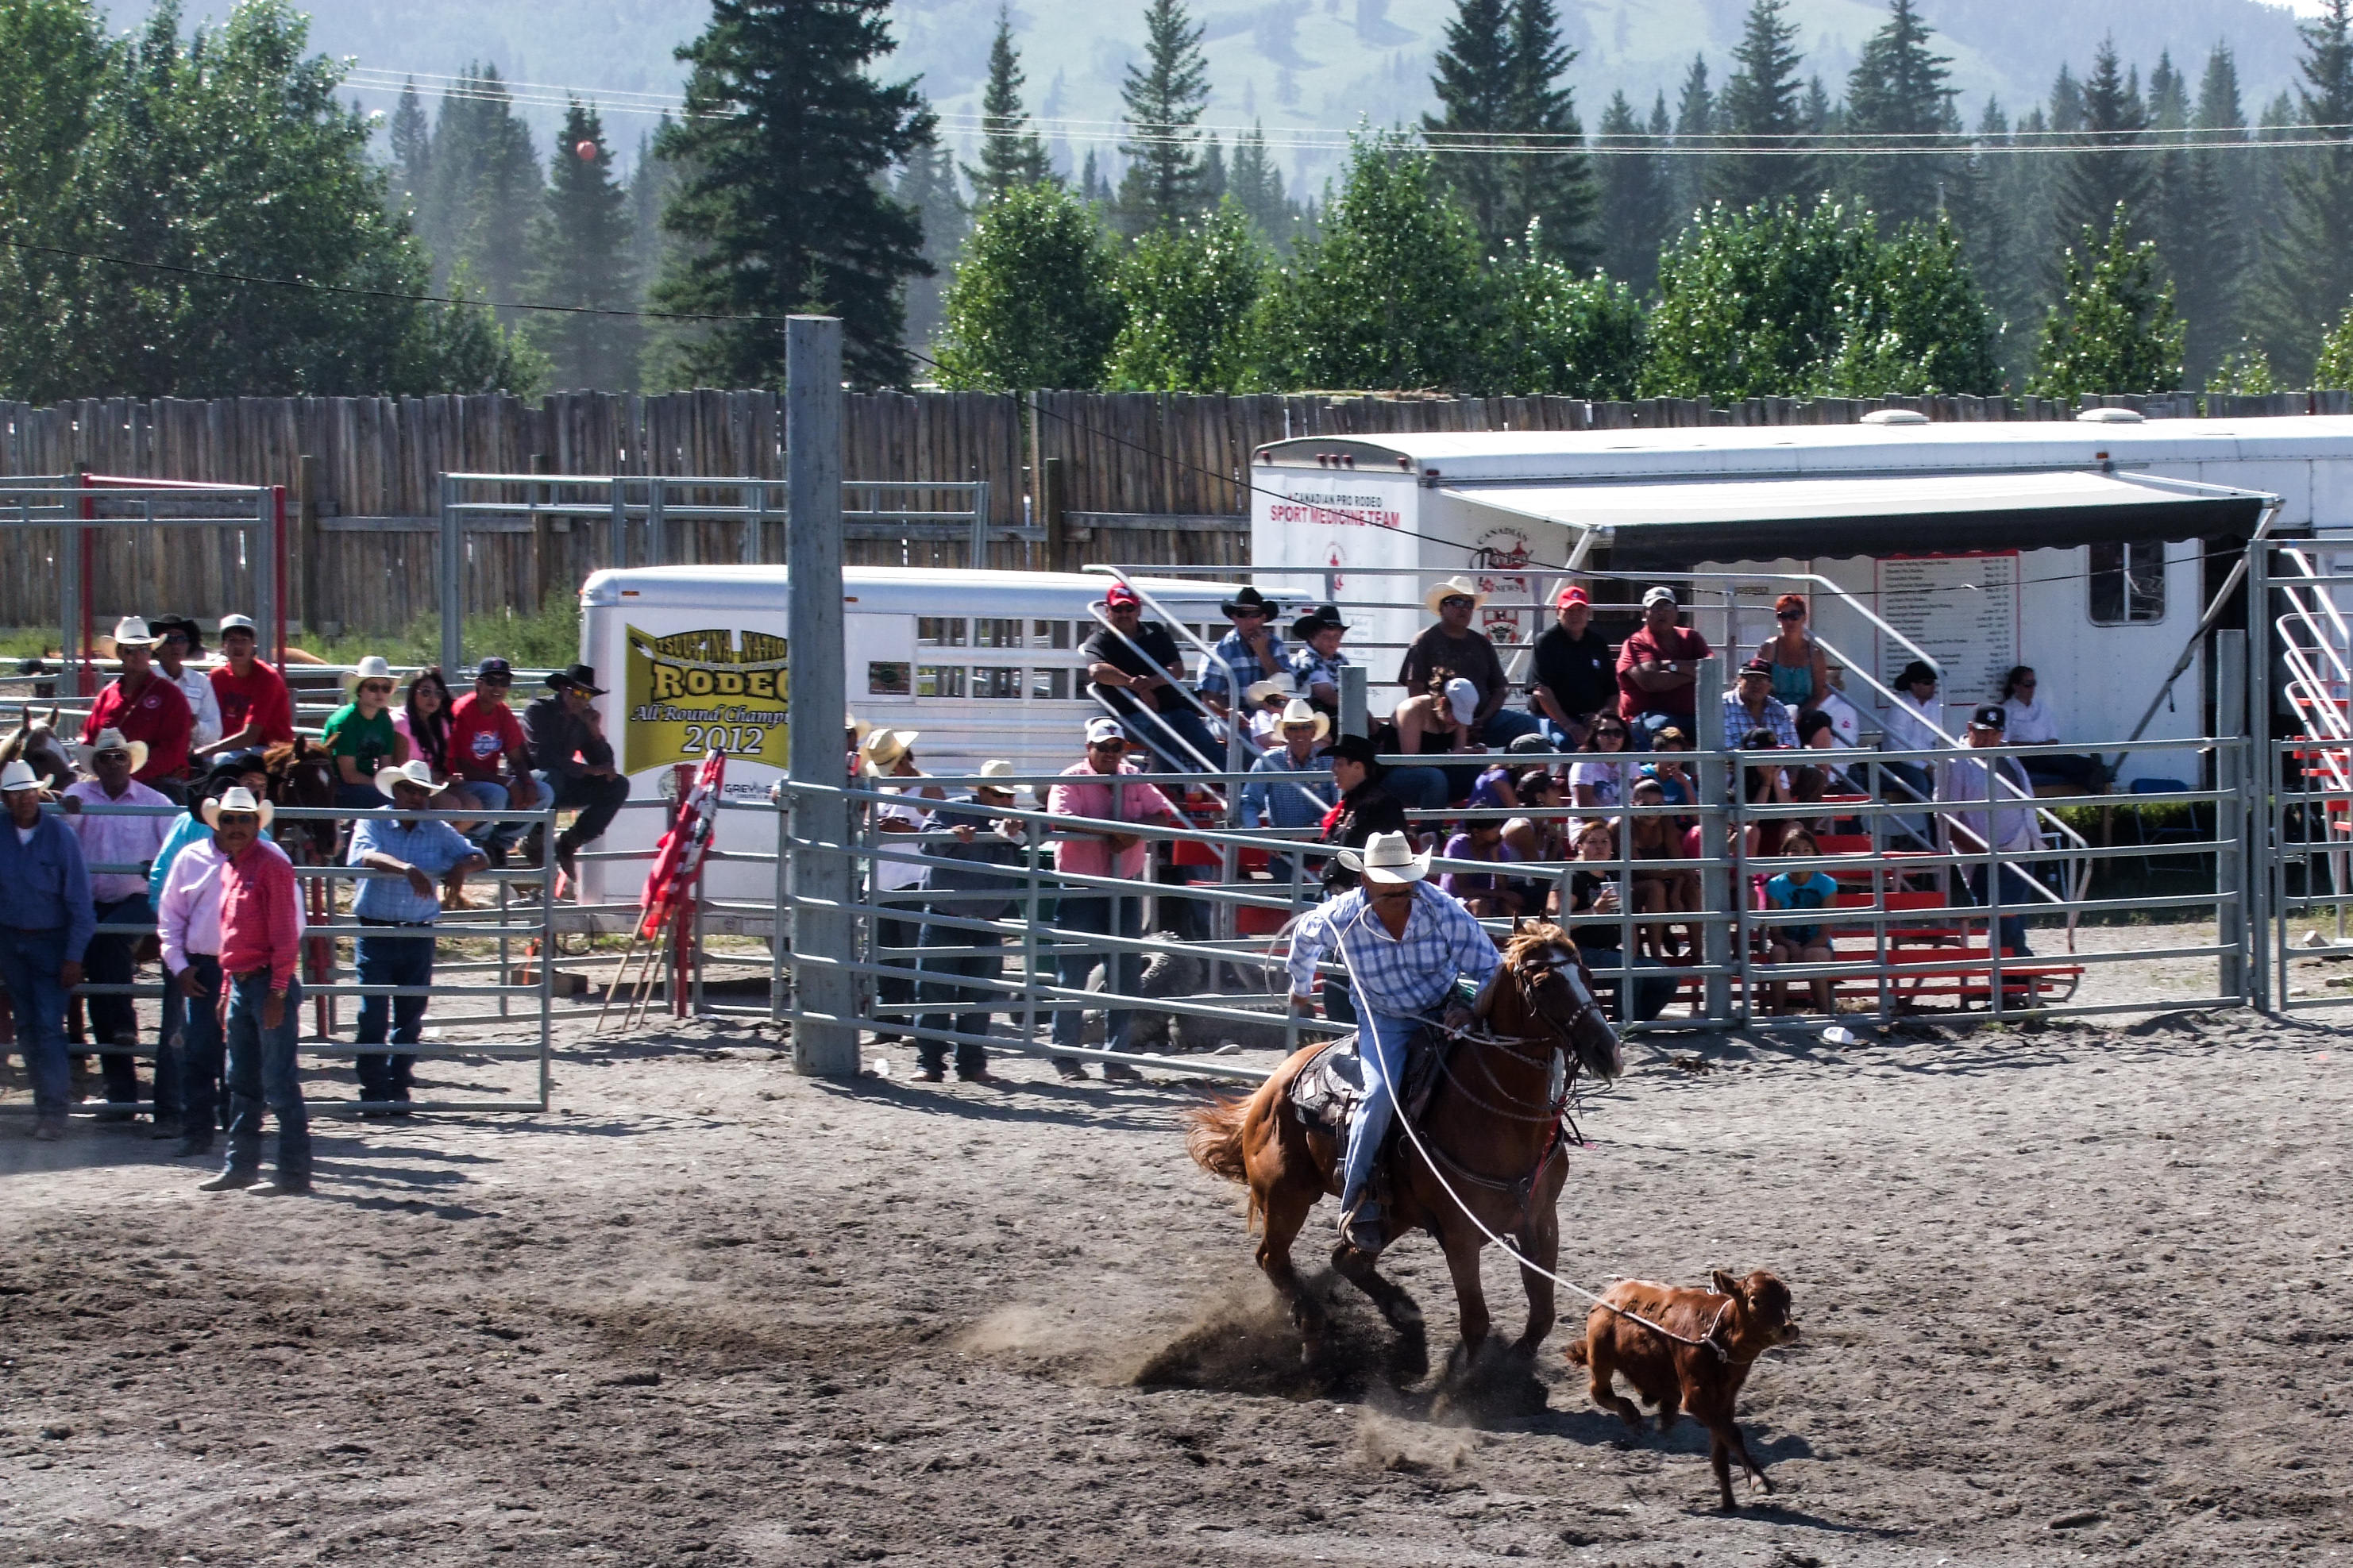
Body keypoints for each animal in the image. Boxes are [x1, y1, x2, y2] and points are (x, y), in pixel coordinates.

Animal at [1186, 922, 1623, 1376]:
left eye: (1588, 975)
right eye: (1544, 983)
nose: (1607, 1049)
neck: (1502, 1118)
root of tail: (1270, 1088)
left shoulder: (1539, 1219)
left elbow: (1542, 1315)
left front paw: (1514, 1364)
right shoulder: (1460, 1232)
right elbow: (1476, 1322)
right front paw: (1468, 1381)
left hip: (1389, 1212)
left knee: (1346, 1258)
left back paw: (1402, 1313)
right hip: (1286, 1196)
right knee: (1273, 1258)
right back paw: (1315, 1333)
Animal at [1564, 1269, 1800, 1510]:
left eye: (1788, 1298)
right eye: (1755, 1300)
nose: (1789, 1329)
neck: (1717, 1337)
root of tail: (1614, 1288)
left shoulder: (1725, 1399)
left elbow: (1722, 1449)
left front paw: (1729, 1502)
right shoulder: (1696, 1397)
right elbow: (1733, 1434)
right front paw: (1759, 1481)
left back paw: (1665, 1415)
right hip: (1601, 1356)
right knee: (1599, 1392)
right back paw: (1633, 1417)